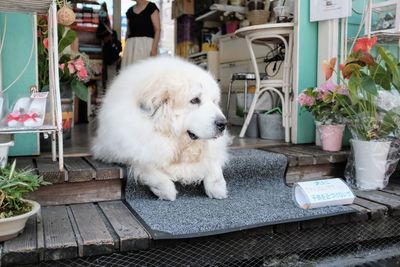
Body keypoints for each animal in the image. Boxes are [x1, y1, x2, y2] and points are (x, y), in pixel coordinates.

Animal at [91, 57, 228, 202]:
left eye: (214, 101)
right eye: (195, 100)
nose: (223, 123)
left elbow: (213, 162)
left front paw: (217, 186)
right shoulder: (124, 149)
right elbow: (145, 164)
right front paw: (165, 190)